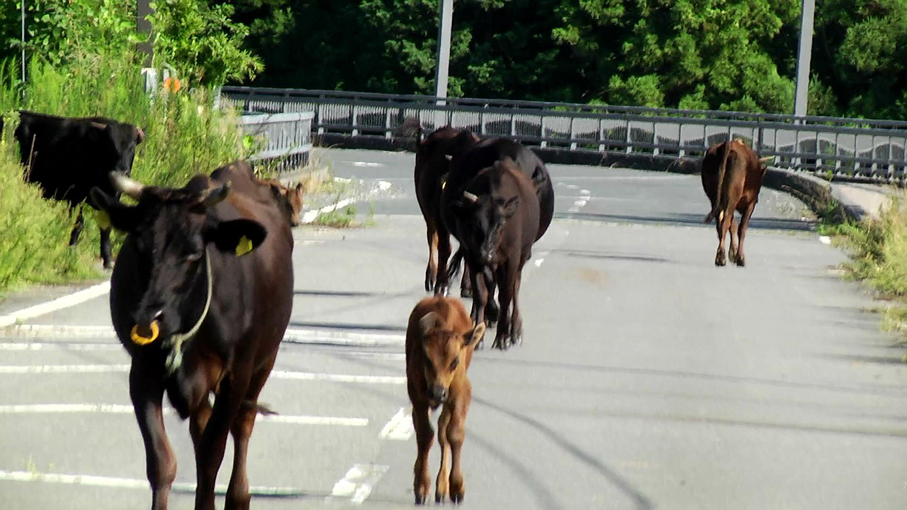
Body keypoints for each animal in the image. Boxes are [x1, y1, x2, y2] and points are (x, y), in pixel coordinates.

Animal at [15, 110, 144, 268]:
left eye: (132, 147)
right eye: (110, 147)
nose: (121, 172)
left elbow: (106, 228)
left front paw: (107, 259)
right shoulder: (75, 198)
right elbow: (78, 224)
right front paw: (72, 251)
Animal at [90, 166, 294, 506]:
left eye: (195, 253)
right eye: (138, 246)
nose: (148, 317)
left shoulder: (236, 375)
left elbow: (212, 454)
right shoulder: (143, 372)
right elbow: (162, 462)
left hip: (265, 359)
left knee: (242, 425)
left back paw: (239, 496)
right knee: (201, 427)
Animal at [408, 296, 486, 504]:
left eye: (455, 361)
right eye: (426, 359)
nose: (437, 393)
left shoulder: (460, 392)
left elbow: (454, 434)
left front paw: (457, 487)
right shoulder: (417, 395)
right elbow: (425, 434)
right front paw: (421, 486)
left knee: (443, 431)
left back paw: (442, 487)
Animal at [446, 159, 540, 350]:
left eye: (500, 224)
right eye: (474, 223)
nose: (486, 253)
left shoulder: (511, 259)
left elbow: (506, 295)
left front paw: (503, 337)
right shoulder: (473, 257)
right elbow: (481, 294)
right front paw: (478, 335)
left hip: (521, 257)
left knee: (514, 289)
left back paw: (515, 331)